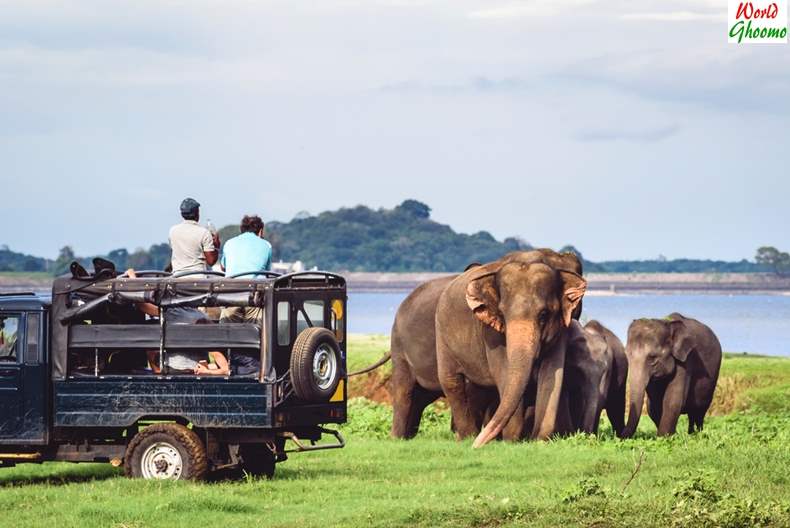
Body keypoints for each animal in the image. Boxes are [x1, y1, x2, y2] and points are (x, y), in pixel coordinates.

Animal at [434, 250, 588, 448]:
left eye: (544, 314)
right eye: (502, 314)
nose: (477, 445)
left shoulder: (561, 327)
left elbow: (552, 374)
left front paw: (539, 440)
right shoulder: (491, 333)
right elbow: (504, 372)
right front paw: (511, 441)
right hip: (442, 335)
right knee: (451, 381)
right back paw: (467, 437)